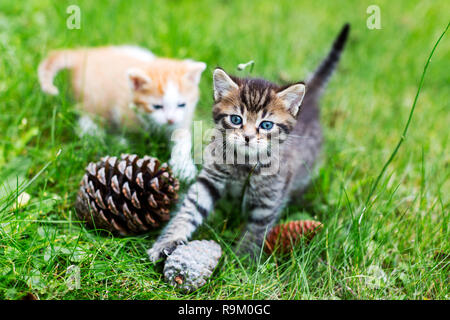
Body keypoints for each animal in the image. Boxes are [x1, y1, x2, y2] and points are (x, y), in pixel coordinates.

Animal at [37, 45, 207, 180]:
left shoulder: (183, 118)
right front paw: (121, 142)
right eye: (157, 106)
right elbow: (130, 135)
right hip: (95, 99)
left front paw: (184, 167)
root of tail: (85, 54)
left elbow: (183, 139)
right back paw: (95, 133)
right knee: (88, 118)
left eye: (182, 104)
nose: (170, 119)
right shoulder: (124, 110)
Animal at [149, 23, 350, 262]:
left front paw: (243, 261)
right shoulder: (210, 178)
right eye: (236, 119)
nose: (247, 136)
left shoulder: (269, 198)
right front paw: (168, 240)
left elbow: (256, 230)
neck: (244, 163)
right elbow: (189, 210)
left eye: (266, 125)